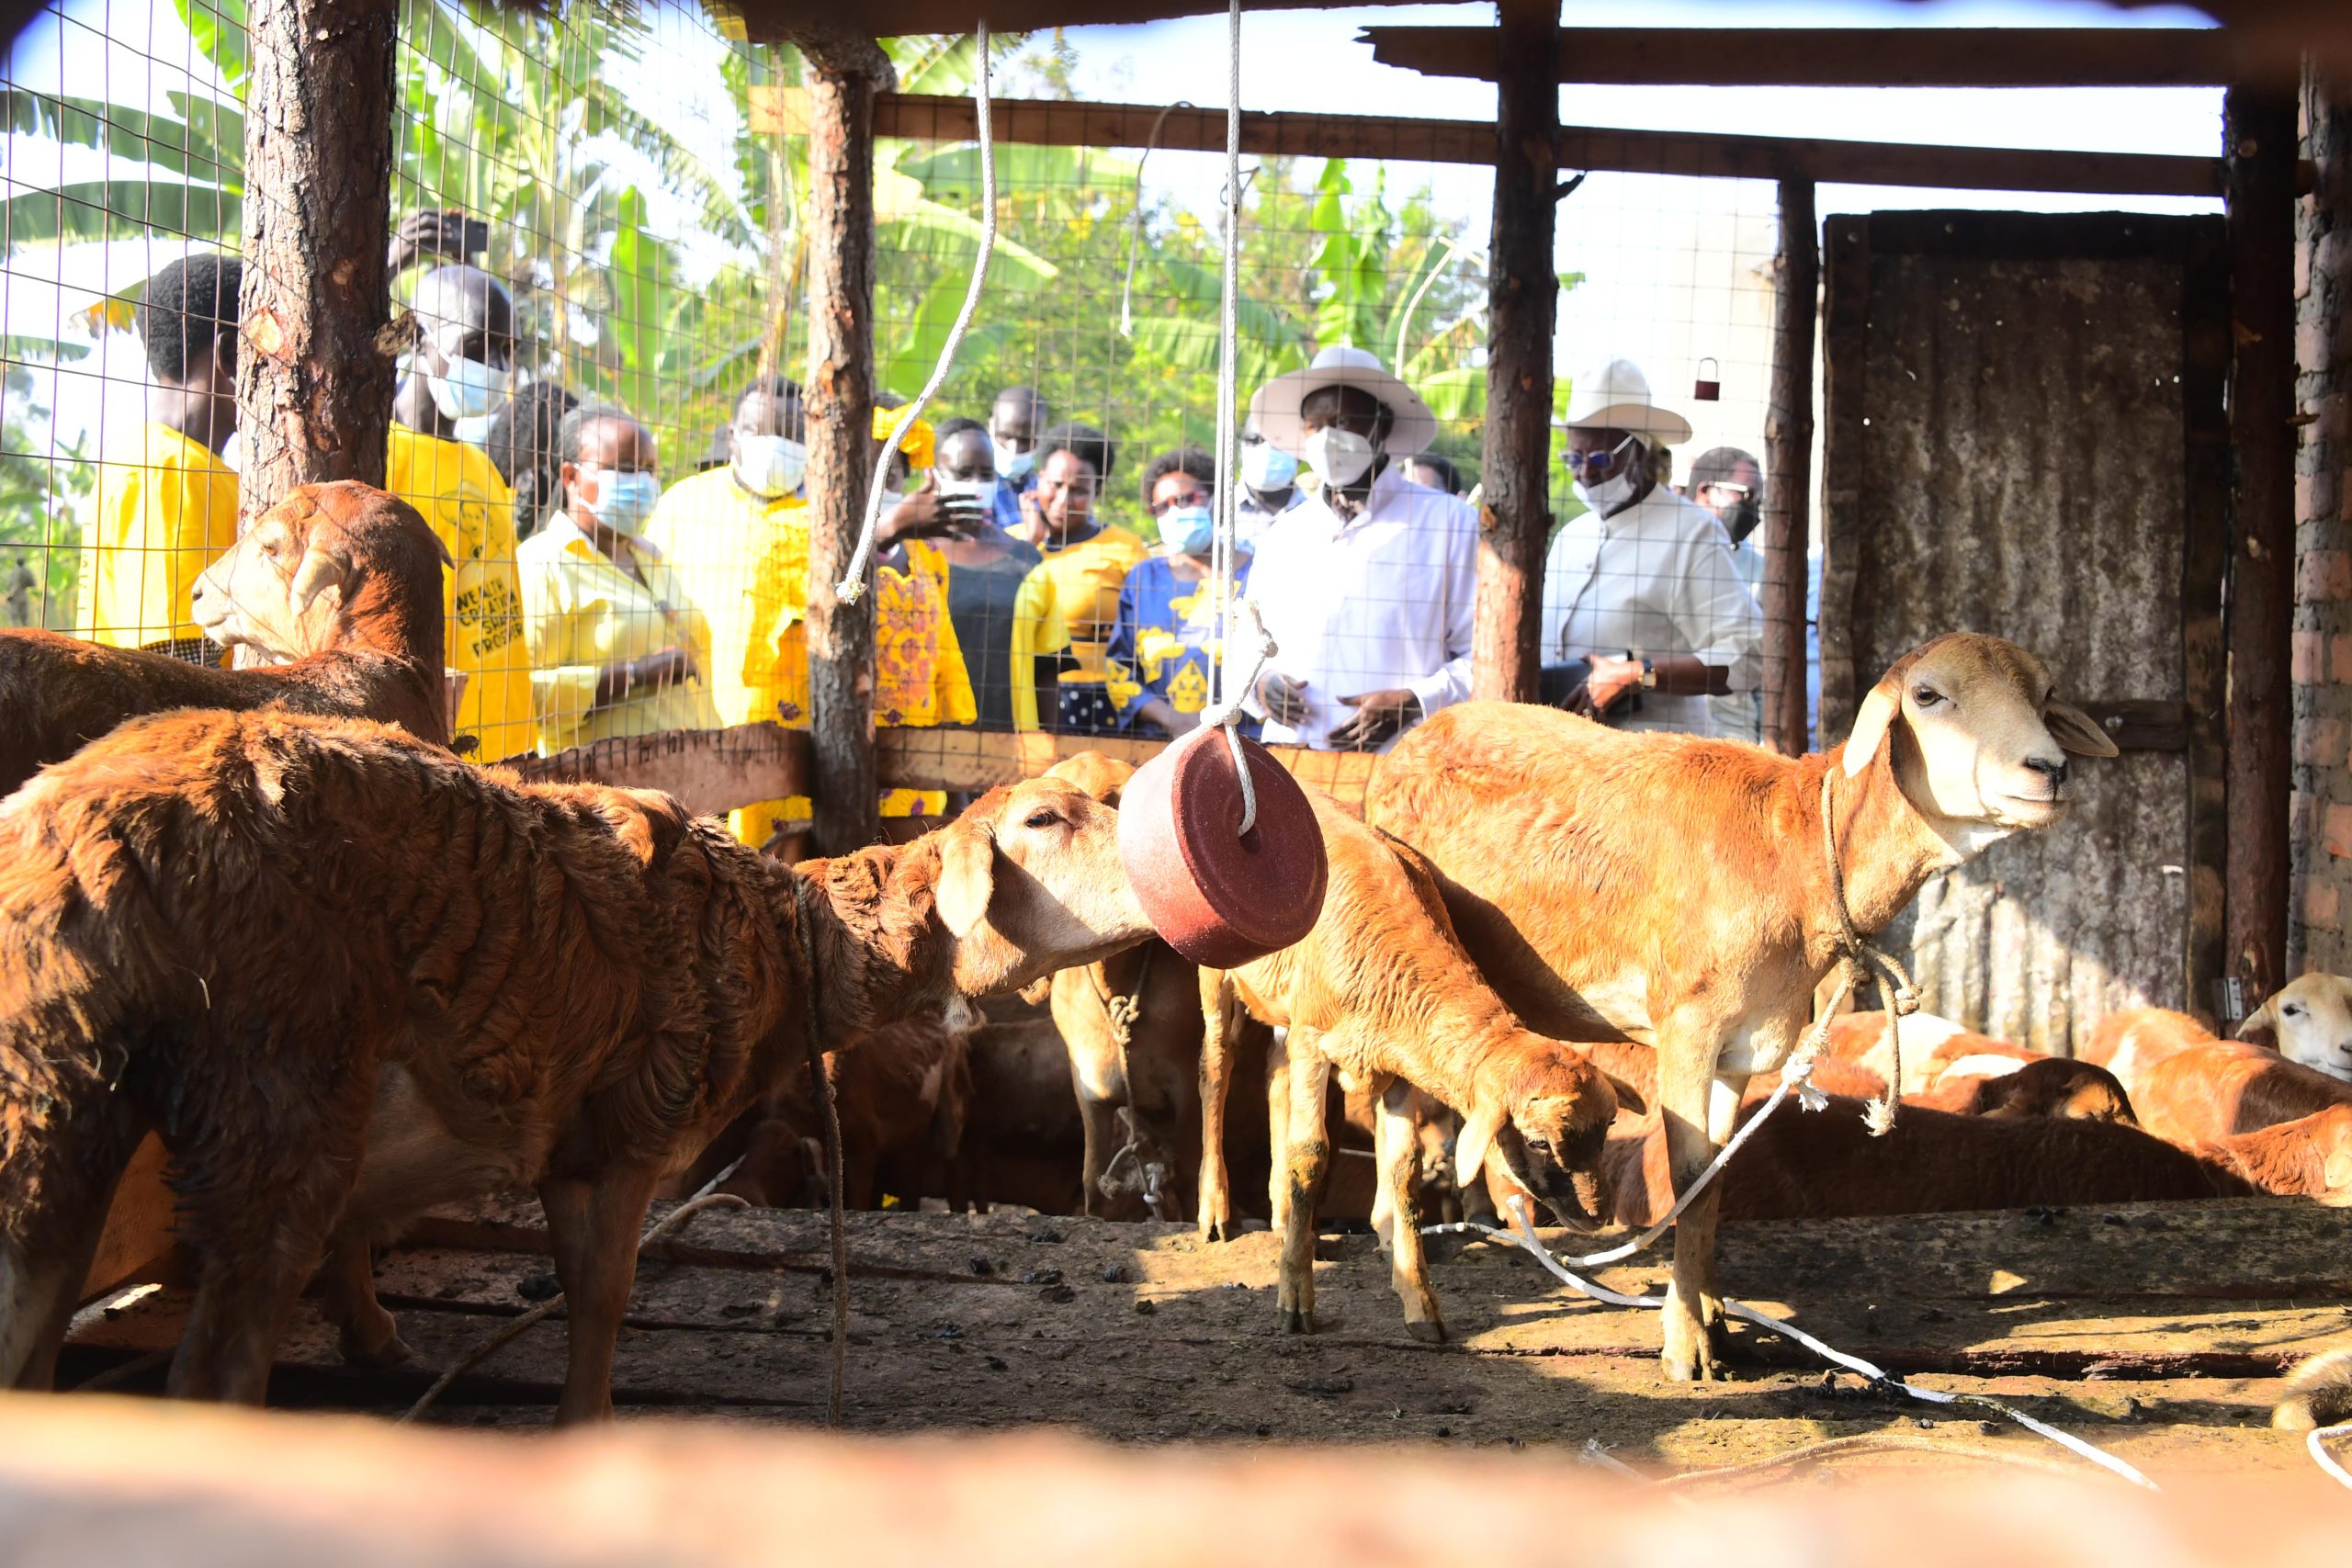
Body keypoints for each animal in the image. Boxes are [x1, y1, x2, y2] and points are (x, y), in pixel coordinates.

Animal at [0, 709, 1148, 1419]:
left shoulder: (566, 1130)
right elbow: (602, 1294)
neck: (792, 944)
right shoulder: (633, 1121)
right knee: (216, 1366)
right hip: (272, 1078)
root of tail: (84, 823)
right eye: (1043, 819)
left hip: (54, 1090)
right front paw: (583, 1420)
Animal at [1363, 629, 2117, 1382]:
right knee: (1398, 1133)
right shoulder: (1687, 1028)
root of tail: (1413, 739)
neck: (1796, 852)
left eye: (2046, 692)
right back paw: (1416, 1290)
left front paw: (1716, 1318)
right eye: (1927, 695)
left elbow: (1717, 1177)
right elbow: (1689, 1176)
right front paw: (1686, 1344)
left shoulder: (1744, 1044)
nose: (2048, 769)